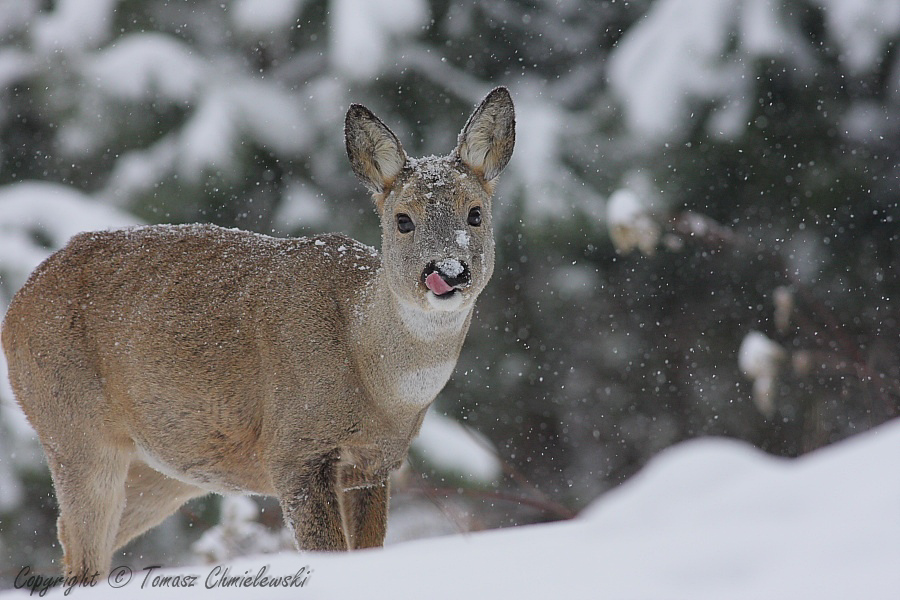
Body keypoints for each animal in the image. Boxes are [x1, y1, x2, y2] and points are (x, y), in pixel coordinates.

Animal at [1, 85, 512, 576]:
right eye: (403, 220)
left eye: (475, 213)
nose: (447, 271)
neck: (375, 382)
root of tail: (17, 304)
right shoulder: (293, 450)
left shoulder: (373, 466)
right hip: (73, 428)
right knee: (81, 544)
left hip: (164, 468)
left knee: (77, 540)